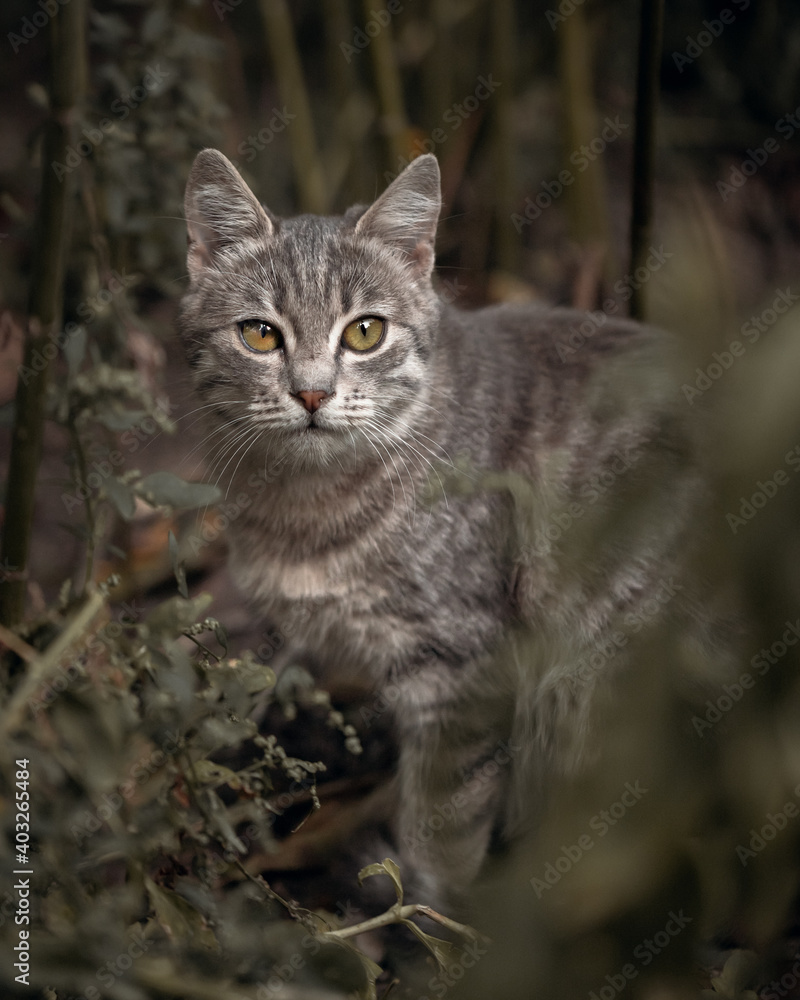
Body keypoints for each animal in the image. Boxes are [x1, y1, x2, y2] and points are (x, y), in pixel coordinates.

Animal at [180, 146, 700, 916]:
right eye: (260, 334)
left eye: (365, 332)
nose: (312, 392)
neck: (306, 506)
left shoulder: (462, 673)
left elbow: (443, 824)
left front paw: (427, 912)